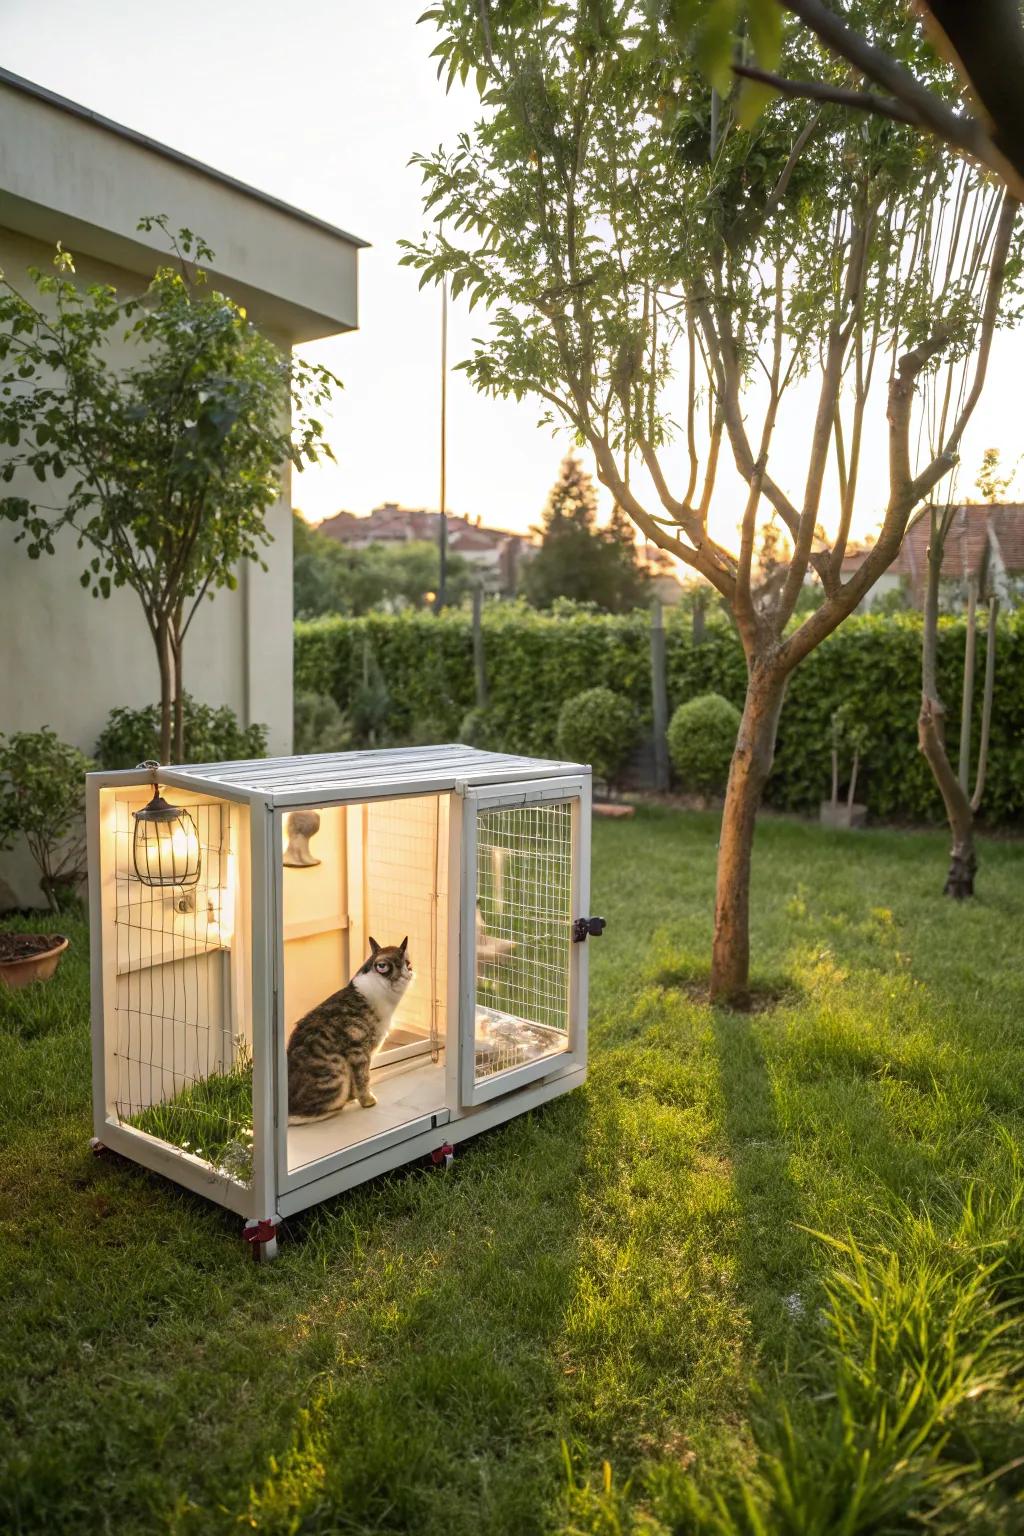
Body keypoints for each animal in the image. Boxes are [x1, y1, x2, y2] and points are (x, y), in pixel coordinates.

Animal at [284, 927, 411, 1124]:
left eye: (408, 964)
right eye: (384, 966)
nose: (407, 973)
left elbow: (357, 1082)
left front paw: (355, 1098)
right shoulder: (358, 1049)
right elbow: (363, 1077)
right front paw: (367, 1100)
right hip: (337, 1067)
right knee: (303, 1115)